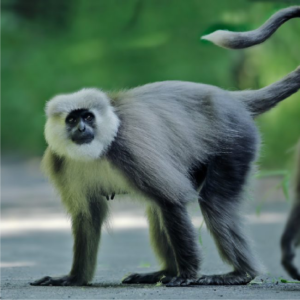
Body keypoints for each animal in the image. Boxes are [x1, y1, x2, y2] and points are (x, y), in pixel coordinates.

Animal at [30, 6, 300, 286]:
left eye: (88, 117)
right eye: (72, 120)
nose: (82, 129)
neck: (97, 152)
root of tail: (232, 99)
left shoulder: (128, 149)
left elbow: (172, 199)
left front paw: (188, 274)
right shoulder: (59, 162)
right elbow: (88, 218)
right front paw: (74, 278)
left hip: (236, 142)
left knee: (211, 202)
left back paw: (239, 274)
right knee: (157, 207)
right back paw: (165, 272)